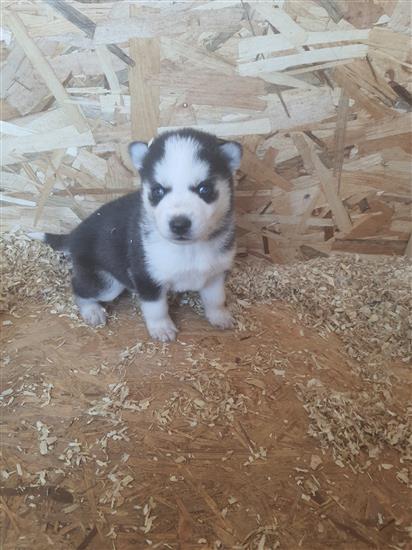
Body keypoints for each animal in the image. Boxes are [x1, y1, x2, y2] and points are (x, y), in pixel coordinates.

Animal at [31, 132, 241, 342]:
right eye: (158, 191)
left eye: (204, 189)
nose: (179, 224)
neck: (189, 249)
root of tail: (75, 232)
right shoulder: (146, 277)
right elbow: (157, 308)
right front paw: (161, 328)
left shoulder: (215, 274)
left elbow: (216, 299)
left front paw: (220, 316)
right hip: (107, 285)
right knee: (78, 287)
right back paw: (92, 311)